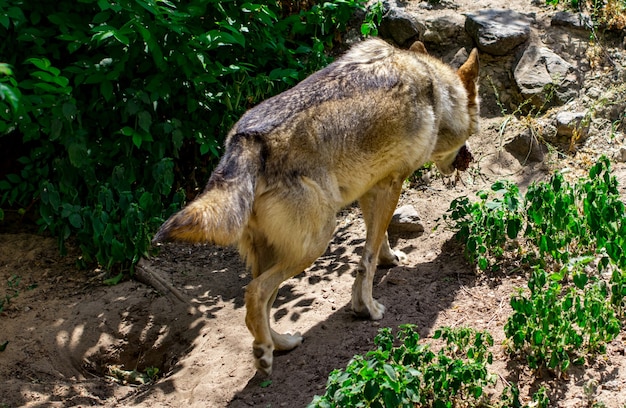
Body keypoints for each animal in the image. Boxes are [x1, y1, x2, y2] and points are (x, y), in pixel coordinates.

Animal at [154, 39, 480, 376]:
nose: (469, 157)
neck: (434, 92)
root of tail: (246, 140)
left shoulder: (372, 189)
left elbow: (378, 242)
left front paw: (388, 261)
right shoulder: (390, 185)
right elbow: (367, 259)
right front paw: (368, 308)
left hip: (276, 252)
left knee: (261, 305)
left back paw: (280, 344)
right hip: (317, 241)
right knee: (255, 293)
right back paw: (264, 354)